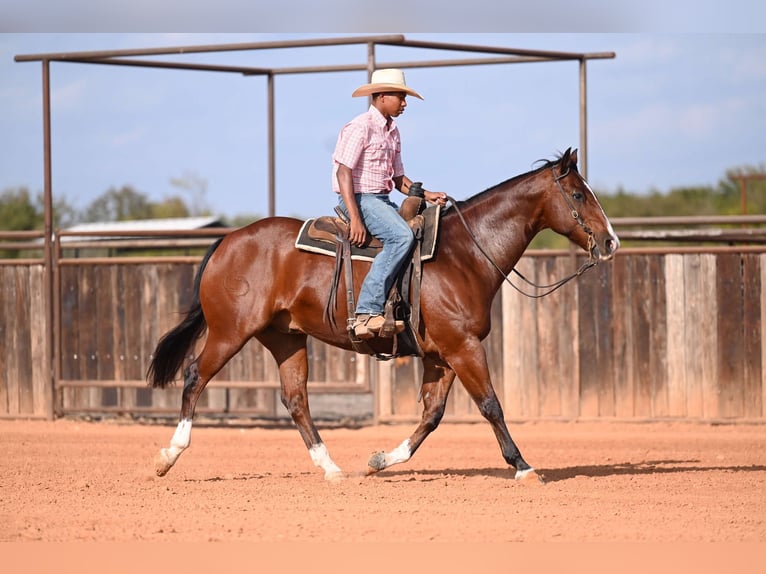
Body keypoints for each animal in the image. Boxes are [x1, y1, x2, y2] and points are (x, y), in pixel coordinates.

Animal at [147, 147, 619, 482]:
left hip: (285, 338)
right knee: (194, 376)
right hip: (230, 331)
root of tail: (228, 240)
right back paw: (167, 456)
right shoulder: (463, 348)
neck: (463, 254)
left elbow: (432, 415)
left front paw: (380, 461)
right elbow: (490, 405)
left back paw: (332, 469)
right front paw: (522, 466)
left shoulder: (442, 355)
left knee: (296, 399)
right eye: (579, 194)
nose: (611, 242)